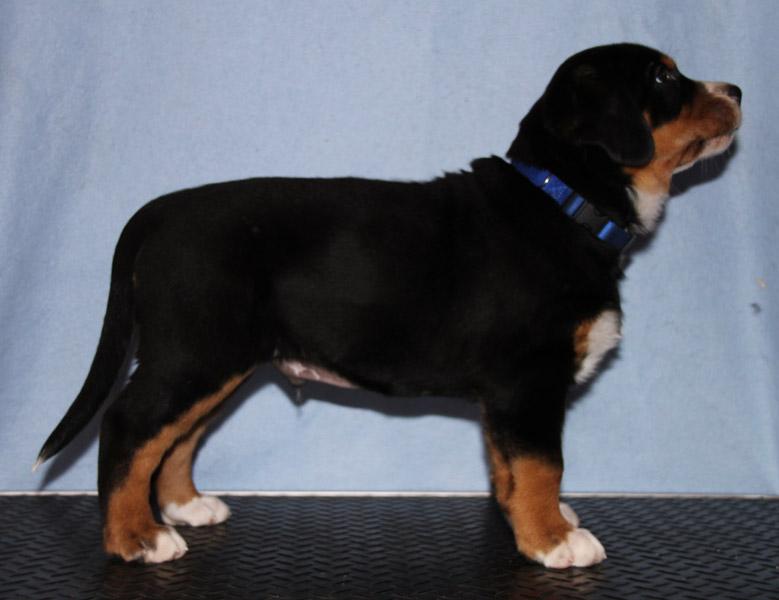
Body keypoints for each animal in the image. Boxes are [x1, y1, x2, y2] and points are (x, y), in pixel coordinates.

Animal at [36, 43, 741, 568]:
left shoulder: (509, 397)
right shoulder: (528, 382)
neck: (563, 203)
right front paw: (554, 540)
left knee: (176, 437)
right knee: (129, 427)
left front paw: (535, 521)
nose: (737, 91)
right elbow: (543, 464)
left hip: (218, 361)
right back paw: (136, 538)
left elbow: (510, 468)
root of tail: (158, 213)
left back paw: (186, 507)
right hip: (193, 352)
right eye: (663, 76)